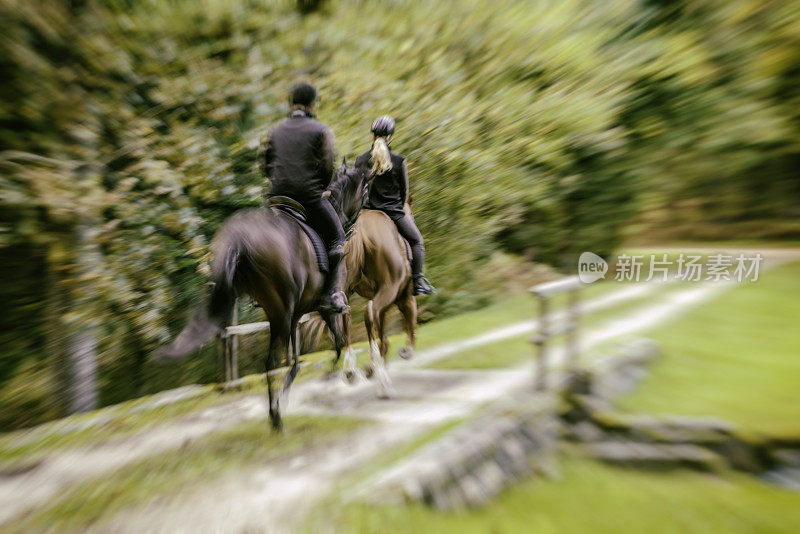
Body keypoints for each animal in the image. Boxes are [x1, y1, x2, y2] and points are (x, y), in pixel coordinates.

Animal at [159, 163, 372, 432]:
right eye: (365, 191)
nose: (352, 229)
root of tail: (243, 236)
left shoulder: (297, 313)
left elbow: (298, 358)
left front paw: (293, 387)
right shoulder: (324, 307)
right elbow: (338, 342)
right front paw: (336, 374)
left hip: (276, 312)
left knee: (272, 360)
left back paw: (276, 409)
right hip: (281, 313)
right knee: (271, 361)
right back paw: (276, 416)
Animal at [340, 207, 418, 400]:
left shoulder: (373, 300)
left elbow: (372, 327)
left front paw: (370, 368)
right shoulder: (406, 299)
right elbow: (411, 327)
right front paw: (406, 351)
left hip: (344, 286)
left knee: (346, 318)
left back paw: (351, 371)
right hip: (390, 291)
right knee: (377, 327)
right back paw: (384, 386)